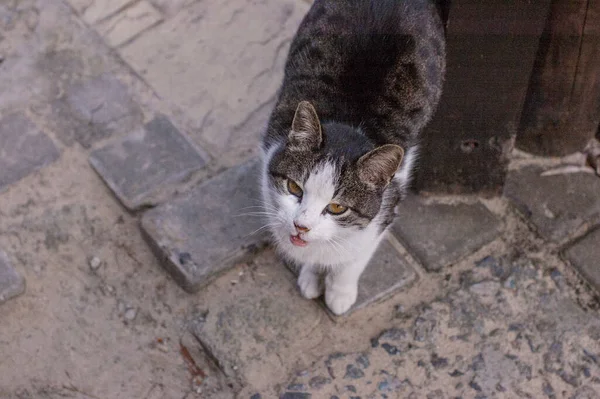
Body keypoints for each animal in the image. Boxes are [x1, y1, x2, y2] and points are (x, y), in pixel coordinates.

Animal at [260, 0, 442, 316]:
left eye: (336, 207)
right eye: (294, 188)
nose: (301, 226)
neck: (349, 121)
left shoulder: (388, 203)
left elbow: (356, 255)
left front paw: (339, 292)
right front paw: (311, 274)